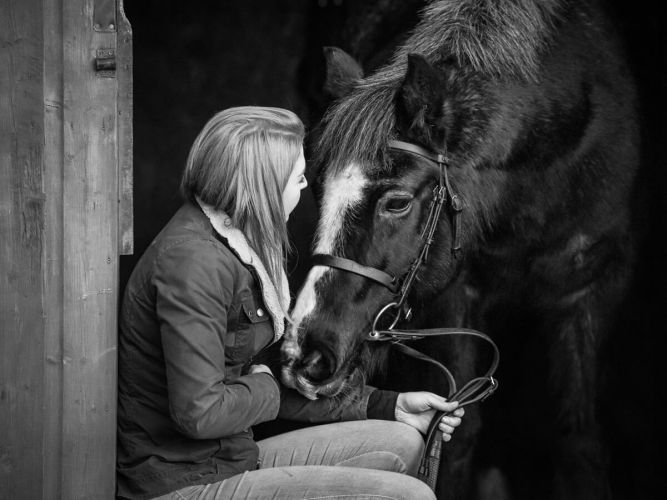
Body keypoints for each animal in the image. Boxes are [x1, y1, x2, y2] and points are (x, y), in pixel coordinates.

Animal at [280, 0, 640, 500]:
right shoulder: (455, 298)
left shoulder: (590, 291)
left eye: (397, 202)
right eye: (316, 188)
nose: (305, 354)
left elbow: (577, 439)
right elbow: (458, 437)